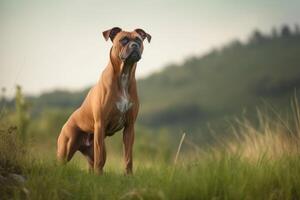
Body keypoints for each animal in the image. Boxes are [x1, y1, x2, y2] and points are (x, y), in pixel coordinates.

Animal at [56, 27, 151, 174]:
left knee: (92, 164)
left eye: (138, 40)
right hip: (66, 148)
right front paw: (99, 176)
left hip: (91, 152)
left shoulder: (129, 127)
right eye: (123, 40)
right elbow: (99, 158)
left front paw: (129, 175)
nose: (134, 46)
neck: (124, 74)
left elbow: (128, 157)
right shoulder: (100, 124)